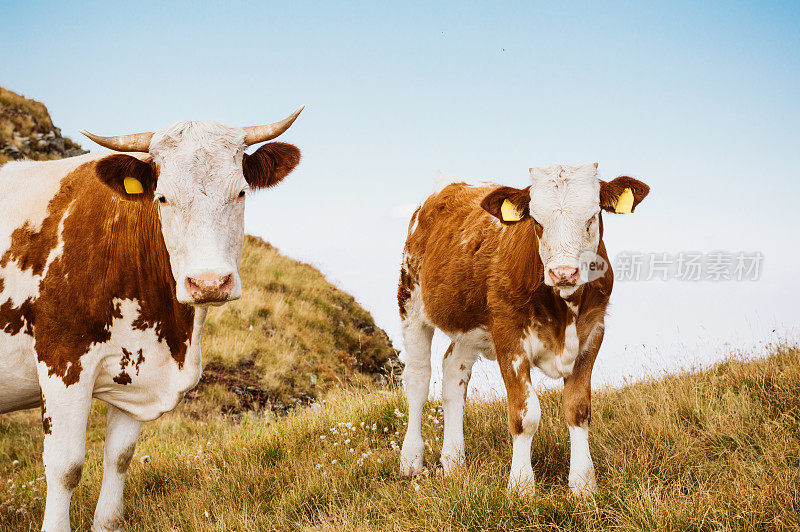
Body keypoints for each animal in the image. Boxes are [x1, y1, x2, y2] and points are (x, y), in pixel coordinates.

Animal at [396, 162, 648, 494]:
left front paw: (583, 484)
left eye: (592, 217)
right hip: (410, 299)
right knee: (417, 380)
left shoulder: (593, 331)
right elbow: (524, 415)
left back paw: (453, 462)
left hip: (469, 323)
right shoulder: (509, 336)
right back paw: (411, 461)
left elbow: (578, 409)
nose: (563, 272)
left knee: (453, 374)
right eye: (536, 221)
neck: (563, 315)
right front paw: (521, 486)